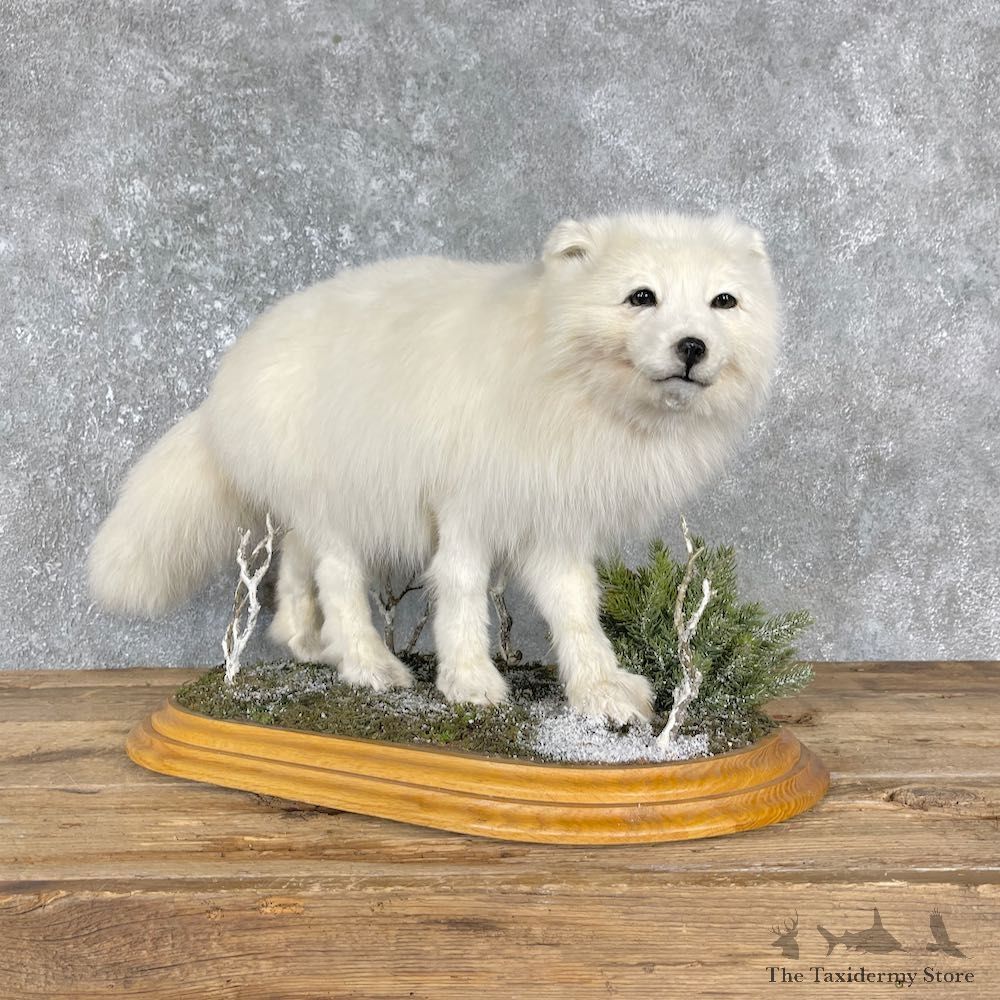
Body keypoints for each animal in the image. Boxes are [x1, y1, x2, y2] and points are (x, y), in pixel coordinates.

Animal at [88, 211, 779, 724]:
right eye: (642, 296)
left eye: (724, 301)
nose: (693, 347)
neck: (561, 382)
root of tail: (222, 390)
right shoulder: (468, 508)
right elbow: (463, 586)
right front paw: (470, 681)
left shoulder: (557, 522)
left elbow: (576, 609)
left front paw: (601, 691)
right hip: (337, 505)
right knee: (338, 578)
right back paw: (368, 666)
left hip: (315, 507)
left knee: (296, 565)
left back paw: (305, 643)